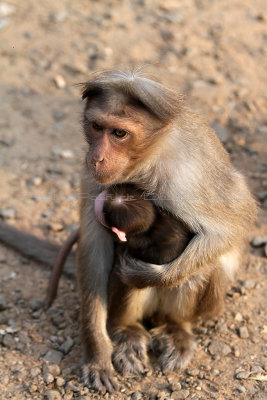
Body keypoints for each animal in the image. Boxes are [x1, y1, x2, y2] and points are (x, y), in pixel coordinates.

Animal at [78, 70, 258, 392]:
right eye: (97, 127)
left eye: (119, 134)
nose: (96, 157)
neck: (148, 160)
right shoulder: (95, 179)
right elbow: (96, 250)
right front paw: (97, 353)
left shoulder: (184, 177)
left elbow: (231, 228)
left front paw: (146, 274)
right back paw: (126, 330)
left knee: (206, 268)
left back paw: (177, 328)